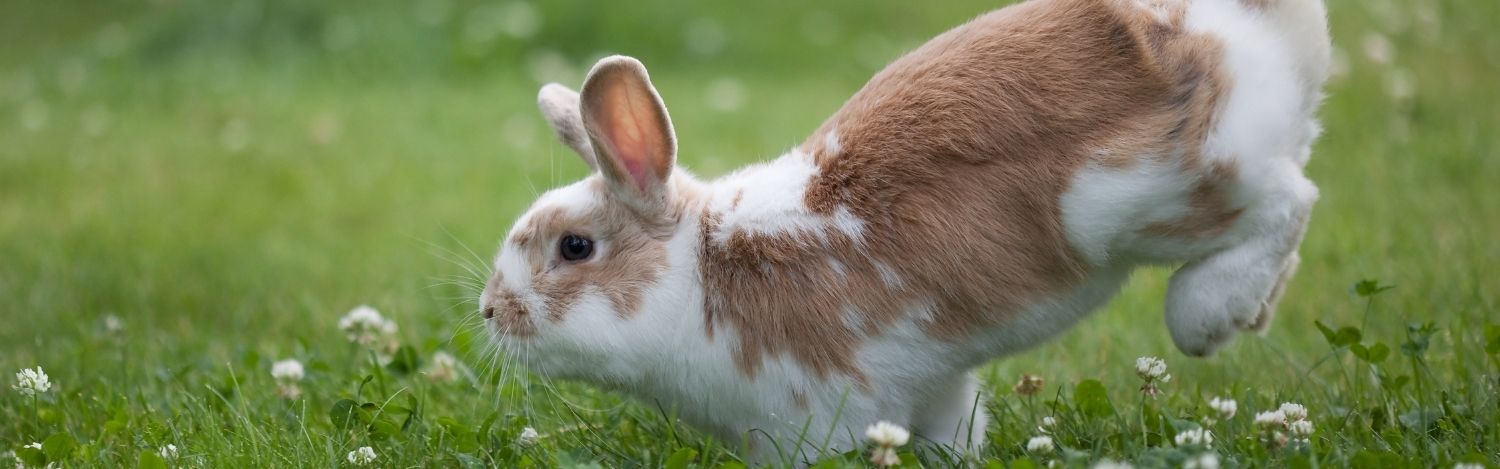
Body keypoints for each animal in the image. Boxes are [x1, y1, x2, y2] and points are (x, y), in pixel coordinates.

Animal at [479, 0, 1328, 462]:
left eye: (575, 247)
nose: (490, 311)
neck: (702, 269)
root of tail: (1246, 32)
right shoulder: (932, 385)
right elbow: (955, 429)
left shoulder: (812, 418)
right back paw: (1250, 312)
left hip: (1152, 196)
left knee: (1290, 197)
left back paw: (1211, 313)